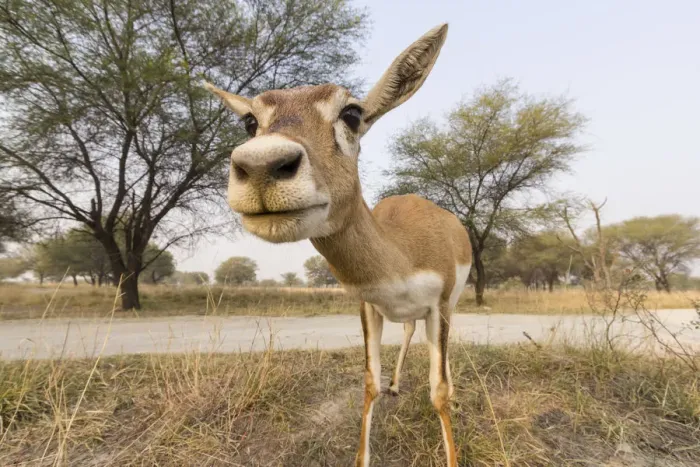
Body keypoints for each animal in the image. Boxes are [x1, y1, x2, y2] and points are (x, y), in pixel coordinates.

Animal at [205, 24, 471, 467]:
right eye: (249, 120)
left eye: (352, 113)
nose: (261, 166)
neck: (401, 254)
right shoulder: (369, 306)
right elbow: (369, 383)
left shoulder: (440, 305)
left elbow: (439, 391)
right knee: (407, 333)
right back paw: (397, 384)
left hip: (450, 306)